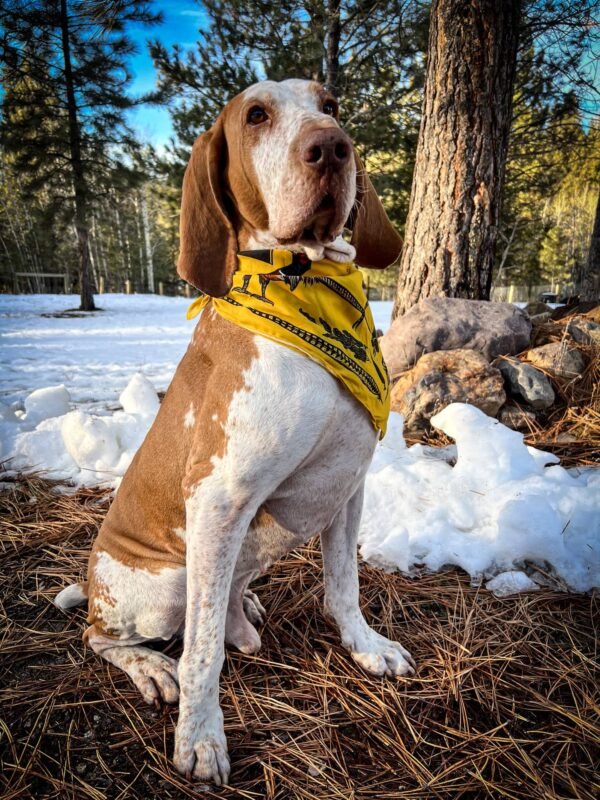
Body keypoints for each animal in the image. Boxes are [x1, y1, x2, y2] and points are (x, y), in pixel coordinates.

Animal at [55, 79, 412, 780]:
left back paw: (241, 612)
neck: (303, 284)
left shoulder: (348, 485)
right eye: (256, 116)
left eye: (330, 103)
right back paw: (152, 666)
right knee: (103, 635)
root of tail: (93, 584)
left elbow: (344, 588)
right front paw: (200, 736)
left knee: (225, 601)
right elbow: (201, 655)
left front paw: (366, 646)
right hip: (168, 581)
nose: (331, 147)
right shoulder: (218, 501)